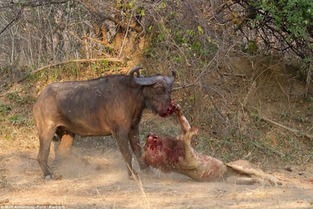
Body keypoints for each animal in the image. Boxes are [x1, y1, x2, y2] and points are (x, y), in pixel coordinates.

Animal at [34, 66, 176, 178]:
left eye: (170, 90)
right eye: (159, 89)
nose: (168, 109)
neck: (132, 95)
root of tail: (40, 99)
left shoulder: (134, 128)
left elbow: (138, 150)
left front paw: (146, 170)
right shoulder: (120, 132)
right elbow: (127, 153)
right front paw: (132, 174)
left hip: (68, 132)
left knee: (63, 152)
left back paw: (85, 163)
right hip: (47, 130)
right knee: (42, 155)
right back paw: (49, 174)